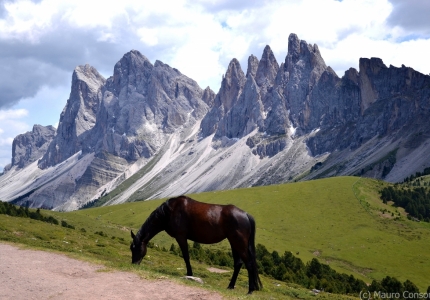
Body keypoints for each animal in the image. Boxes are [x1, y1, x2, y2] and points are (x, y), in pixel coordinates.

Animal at [129, 196, 262, 294]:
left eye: (135, 248)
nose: (134, 264)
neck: (170, 211)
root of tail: (246, 215)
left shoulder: (181, 237)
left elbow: (186, 256)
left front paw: (189, 274)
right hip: (233, 242)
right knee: (238, 263)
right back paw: (230, 286)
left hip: (239, 242)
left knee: (249, 263)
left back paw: (250, 290)